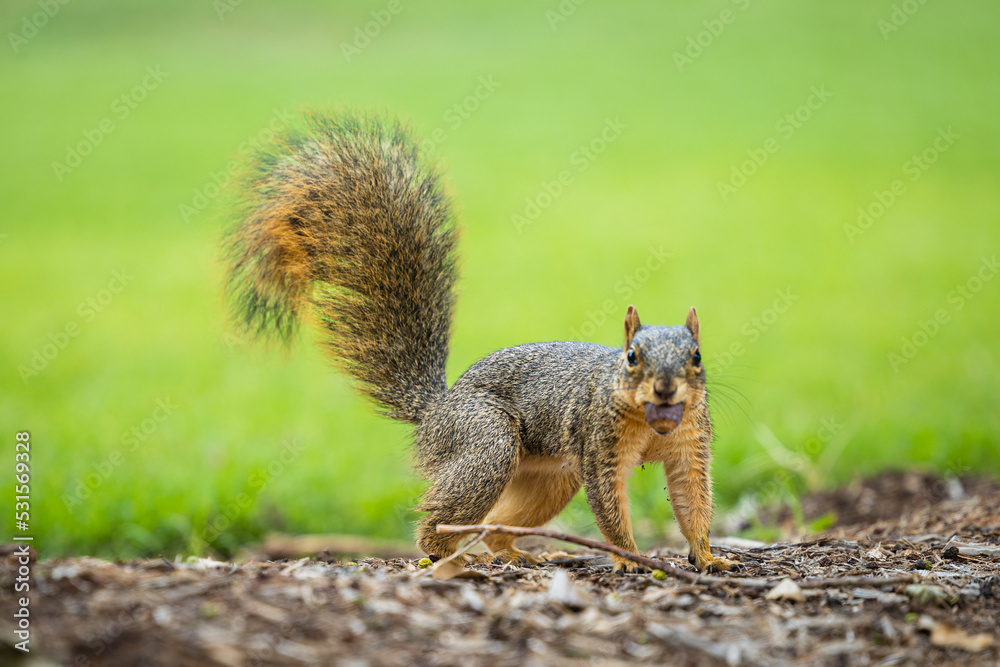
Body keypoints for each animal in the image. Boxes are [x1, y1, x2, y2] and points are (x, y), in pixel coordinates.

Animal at [224, 111, 734, 573]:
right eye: (631, 357)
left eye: (696, 356)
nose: (665, 388)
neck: (653, 426)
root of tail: (437, 410)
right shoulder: (599, 447)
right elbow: (610, 509)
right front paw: (629, 558)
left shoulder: (690, 446)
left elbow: (693, 501)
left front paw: (709, 555)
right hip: (487, 442)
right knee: (443, 516)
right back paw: (447, 553)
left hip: (548, 476)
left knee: (495, 523)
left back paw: (511, 553)